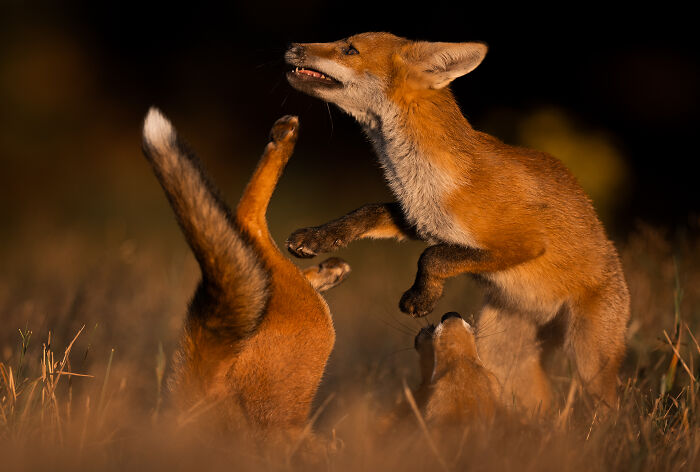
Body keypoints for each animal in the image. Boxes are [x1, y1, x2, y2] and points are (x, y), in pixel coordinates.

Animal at [283, 32, 630, 412]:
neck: (426, 178)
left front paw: (422, 297)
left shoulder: (525, 243)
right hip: (501, 357)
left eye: (349, 49)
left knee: (608, 407)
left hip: (589, 360)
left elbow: (433, 257)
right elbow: (368, 211)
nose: (292, 47)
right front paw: (318, 238)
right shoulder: (420, 217)